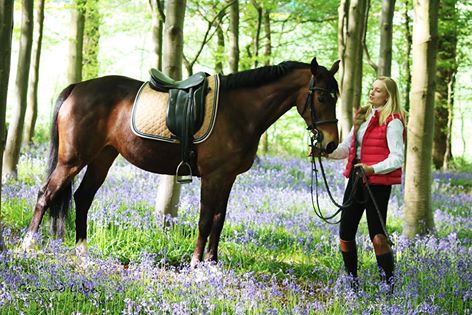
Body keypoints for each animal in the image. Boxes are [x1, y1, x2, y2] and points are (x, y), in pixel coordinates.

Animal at [22, 56, 340, 266]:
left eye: (335, 96)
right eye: (323, 97)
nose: (331, 143)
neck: (239, 111)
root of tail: (77, 88)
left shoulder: (227, 178)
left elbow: (219, 219)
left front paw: (213, 264)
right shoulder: (213, 177)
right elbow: (205, 219)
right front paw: (196, 265)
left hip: (102, 158)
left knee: (83, 197)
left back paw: (83, 252)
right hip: (72, 160)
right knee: (45, 194)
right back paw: (26, 246)